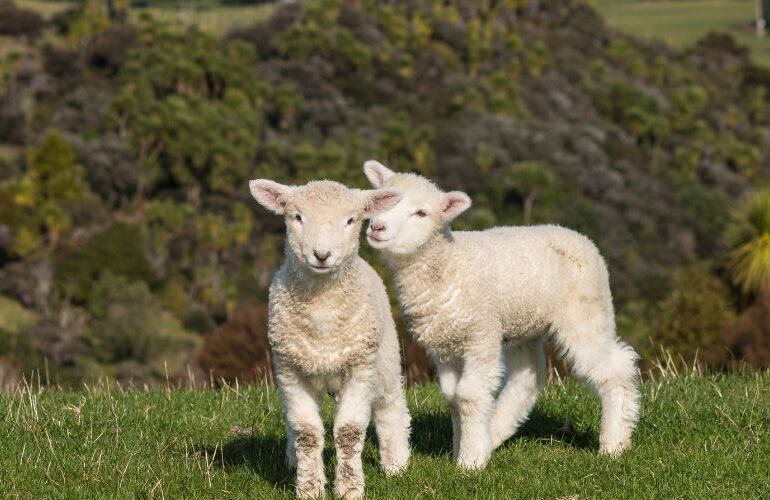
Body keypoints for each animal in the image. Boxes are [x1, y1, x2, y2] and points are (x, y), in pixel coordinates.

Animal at [248, 179, 411, 499]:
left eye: (350, 220)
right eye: (297, 217)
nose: (321, 255)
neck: (322, 317)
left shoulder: (360, 369)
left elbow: (348, 432)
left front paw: (350, 488)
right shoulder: (291, 371)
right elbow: (307, 433)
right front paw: (309, 488)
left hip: (384, 358)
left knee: (391, 406)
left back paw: (397, 463)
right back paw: (291, 459)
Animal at [361, 160, 640, 469]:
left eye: (420, 213)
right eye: (383, 199)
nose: (377, 227)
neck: (446, 265)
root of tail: (582, 239)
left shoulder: (480, 335)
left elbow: (468, 395)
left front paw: (469, 462)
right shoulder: (443, 345)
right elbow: (452, 396)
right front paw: (462, 449)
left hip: (585, 311)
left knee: (614, 367)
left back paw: (614, 443)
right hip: (526, 323)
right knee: (529, 377)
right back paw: (493, 433)